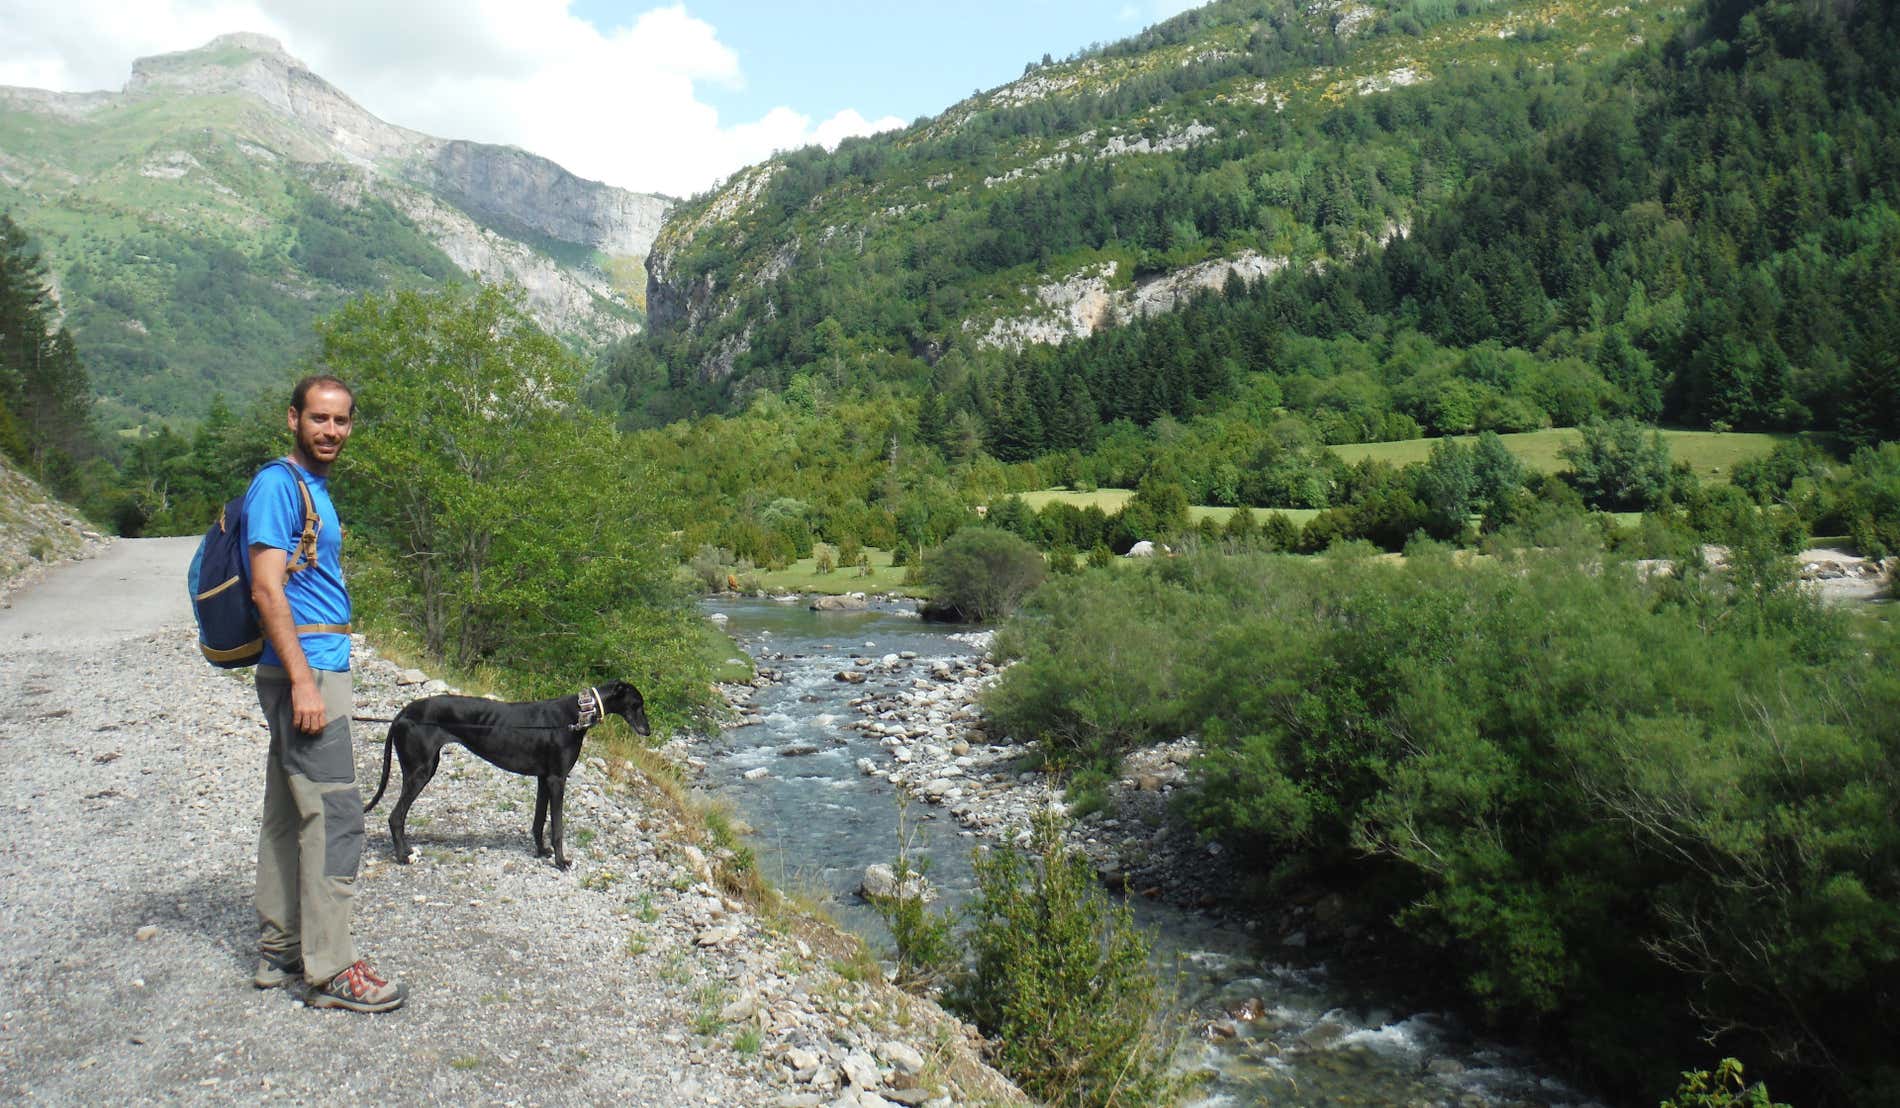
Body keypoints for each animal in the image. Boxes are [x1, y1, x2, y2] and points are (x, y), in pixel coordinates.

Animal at [362, 680, 653, 870]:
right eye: (637, 704)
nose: (648, 730)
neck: (577, 714)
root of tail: (402, 713)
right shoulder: (557, 779)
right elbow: (557, 827)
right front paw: (561, 861)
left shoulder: (544, 779)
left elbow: (539, 821)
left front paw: (541, 851)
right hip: (420, 771)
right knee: (395, 816)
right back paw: (404, 856)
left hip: (427, 766)